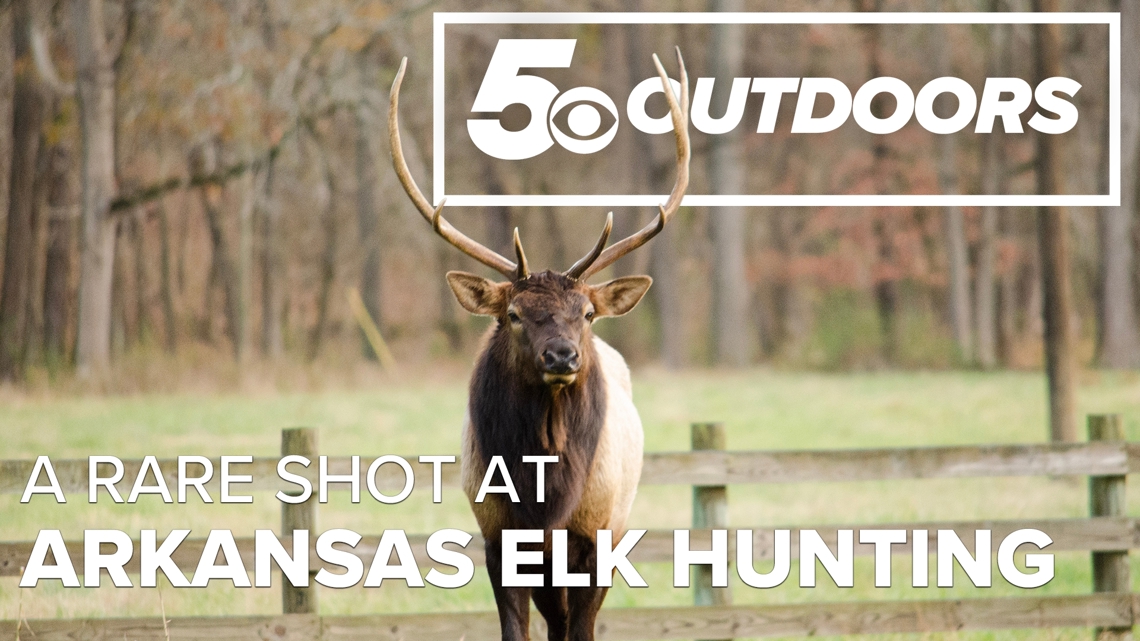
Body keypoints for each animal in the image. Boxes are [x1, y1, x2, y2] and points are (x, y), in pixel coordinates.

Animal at [388, 48, 690, 641]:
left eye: (588, 314)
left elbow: (582, 629)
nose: (561, 356)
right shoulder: (497, 536)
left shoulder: (596, 536)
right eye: (513, 315)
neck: (545, 493)